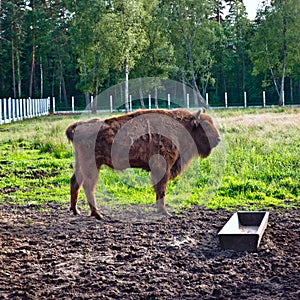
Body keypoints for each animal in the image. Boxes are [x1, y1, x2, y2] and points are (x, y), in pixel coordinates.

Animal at [66, 109, 220, 219]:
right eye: (205, 125)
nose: (218, 139)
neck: (182, 127)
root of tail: (79, 126)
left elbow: (159, 189)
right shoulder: (163, 168)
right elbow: (161, 189)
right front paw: (165, 212)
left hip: (81, 163)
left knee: (75, 182)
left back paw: (76, 211)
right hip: (91, 165)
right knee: (88, 186)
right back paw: (97, 214)